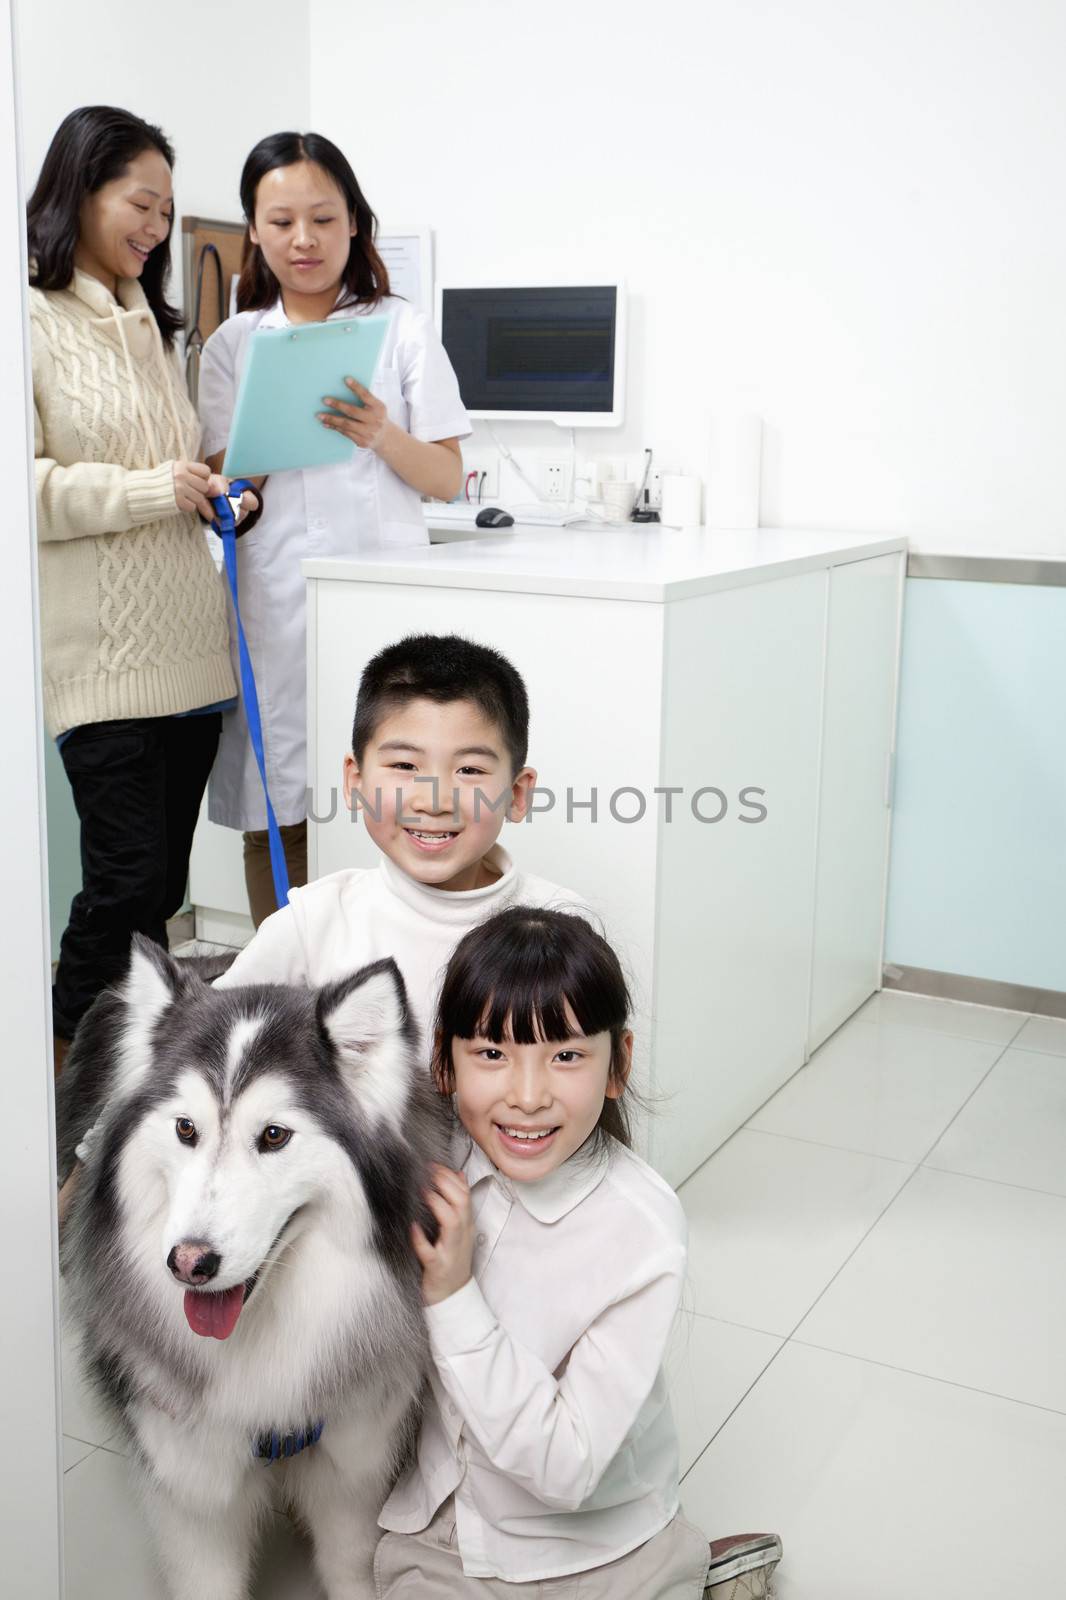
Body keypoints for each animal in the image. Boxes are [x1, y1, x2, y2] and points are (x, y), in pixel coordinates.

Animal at [56, 934, 444, 1600]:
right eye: (186, 1128)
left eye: (274, 1136)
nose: (188, 1263)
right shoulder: (191, 1487)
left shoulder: (354, 1463)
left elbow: (351, 1564)